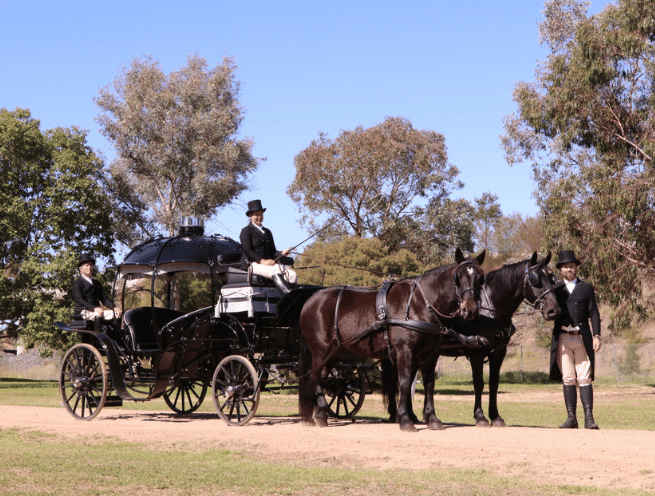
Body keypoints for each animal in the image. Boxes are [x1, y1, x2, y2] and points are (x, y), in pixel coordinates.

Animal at [298, 247, 486, 430]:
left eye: (480, 278)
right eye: (458, 277)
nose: (470, 309)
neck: (419, 303)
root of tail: (311, 300)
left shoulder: (431, 355)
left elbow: (429, 385)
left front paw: (432, 419)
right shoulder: (405, 351)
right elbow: (403, 383)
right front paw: (405, 420)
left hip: (334, 354)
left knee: (323, 378)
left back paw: (319, 412)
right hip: (321, 351)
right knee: (314, 377)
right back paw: (321, 414)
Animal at [384, 252, 564, 426]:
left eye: (551, 278)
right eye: (535, 279)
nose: (553, 310)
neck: (490, 309)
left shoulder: (499, 353)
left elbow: (493, 384)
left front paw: (495, 417)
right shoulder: (476, 352)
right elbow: (479, 384)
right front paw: (480, 417)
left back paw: (409, 415)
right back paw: (398, 415)